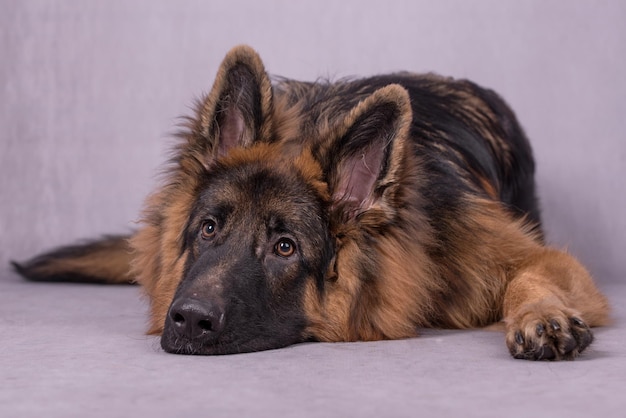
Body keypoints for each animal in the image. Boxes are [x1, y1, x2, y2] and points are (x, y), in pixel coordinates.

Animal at [12, 45, 608, 360]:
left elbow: (533, 273)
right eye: (208, 229)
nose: (187, 320)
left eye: (285, 247)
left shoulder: (521, 253)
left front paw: (542, 315)